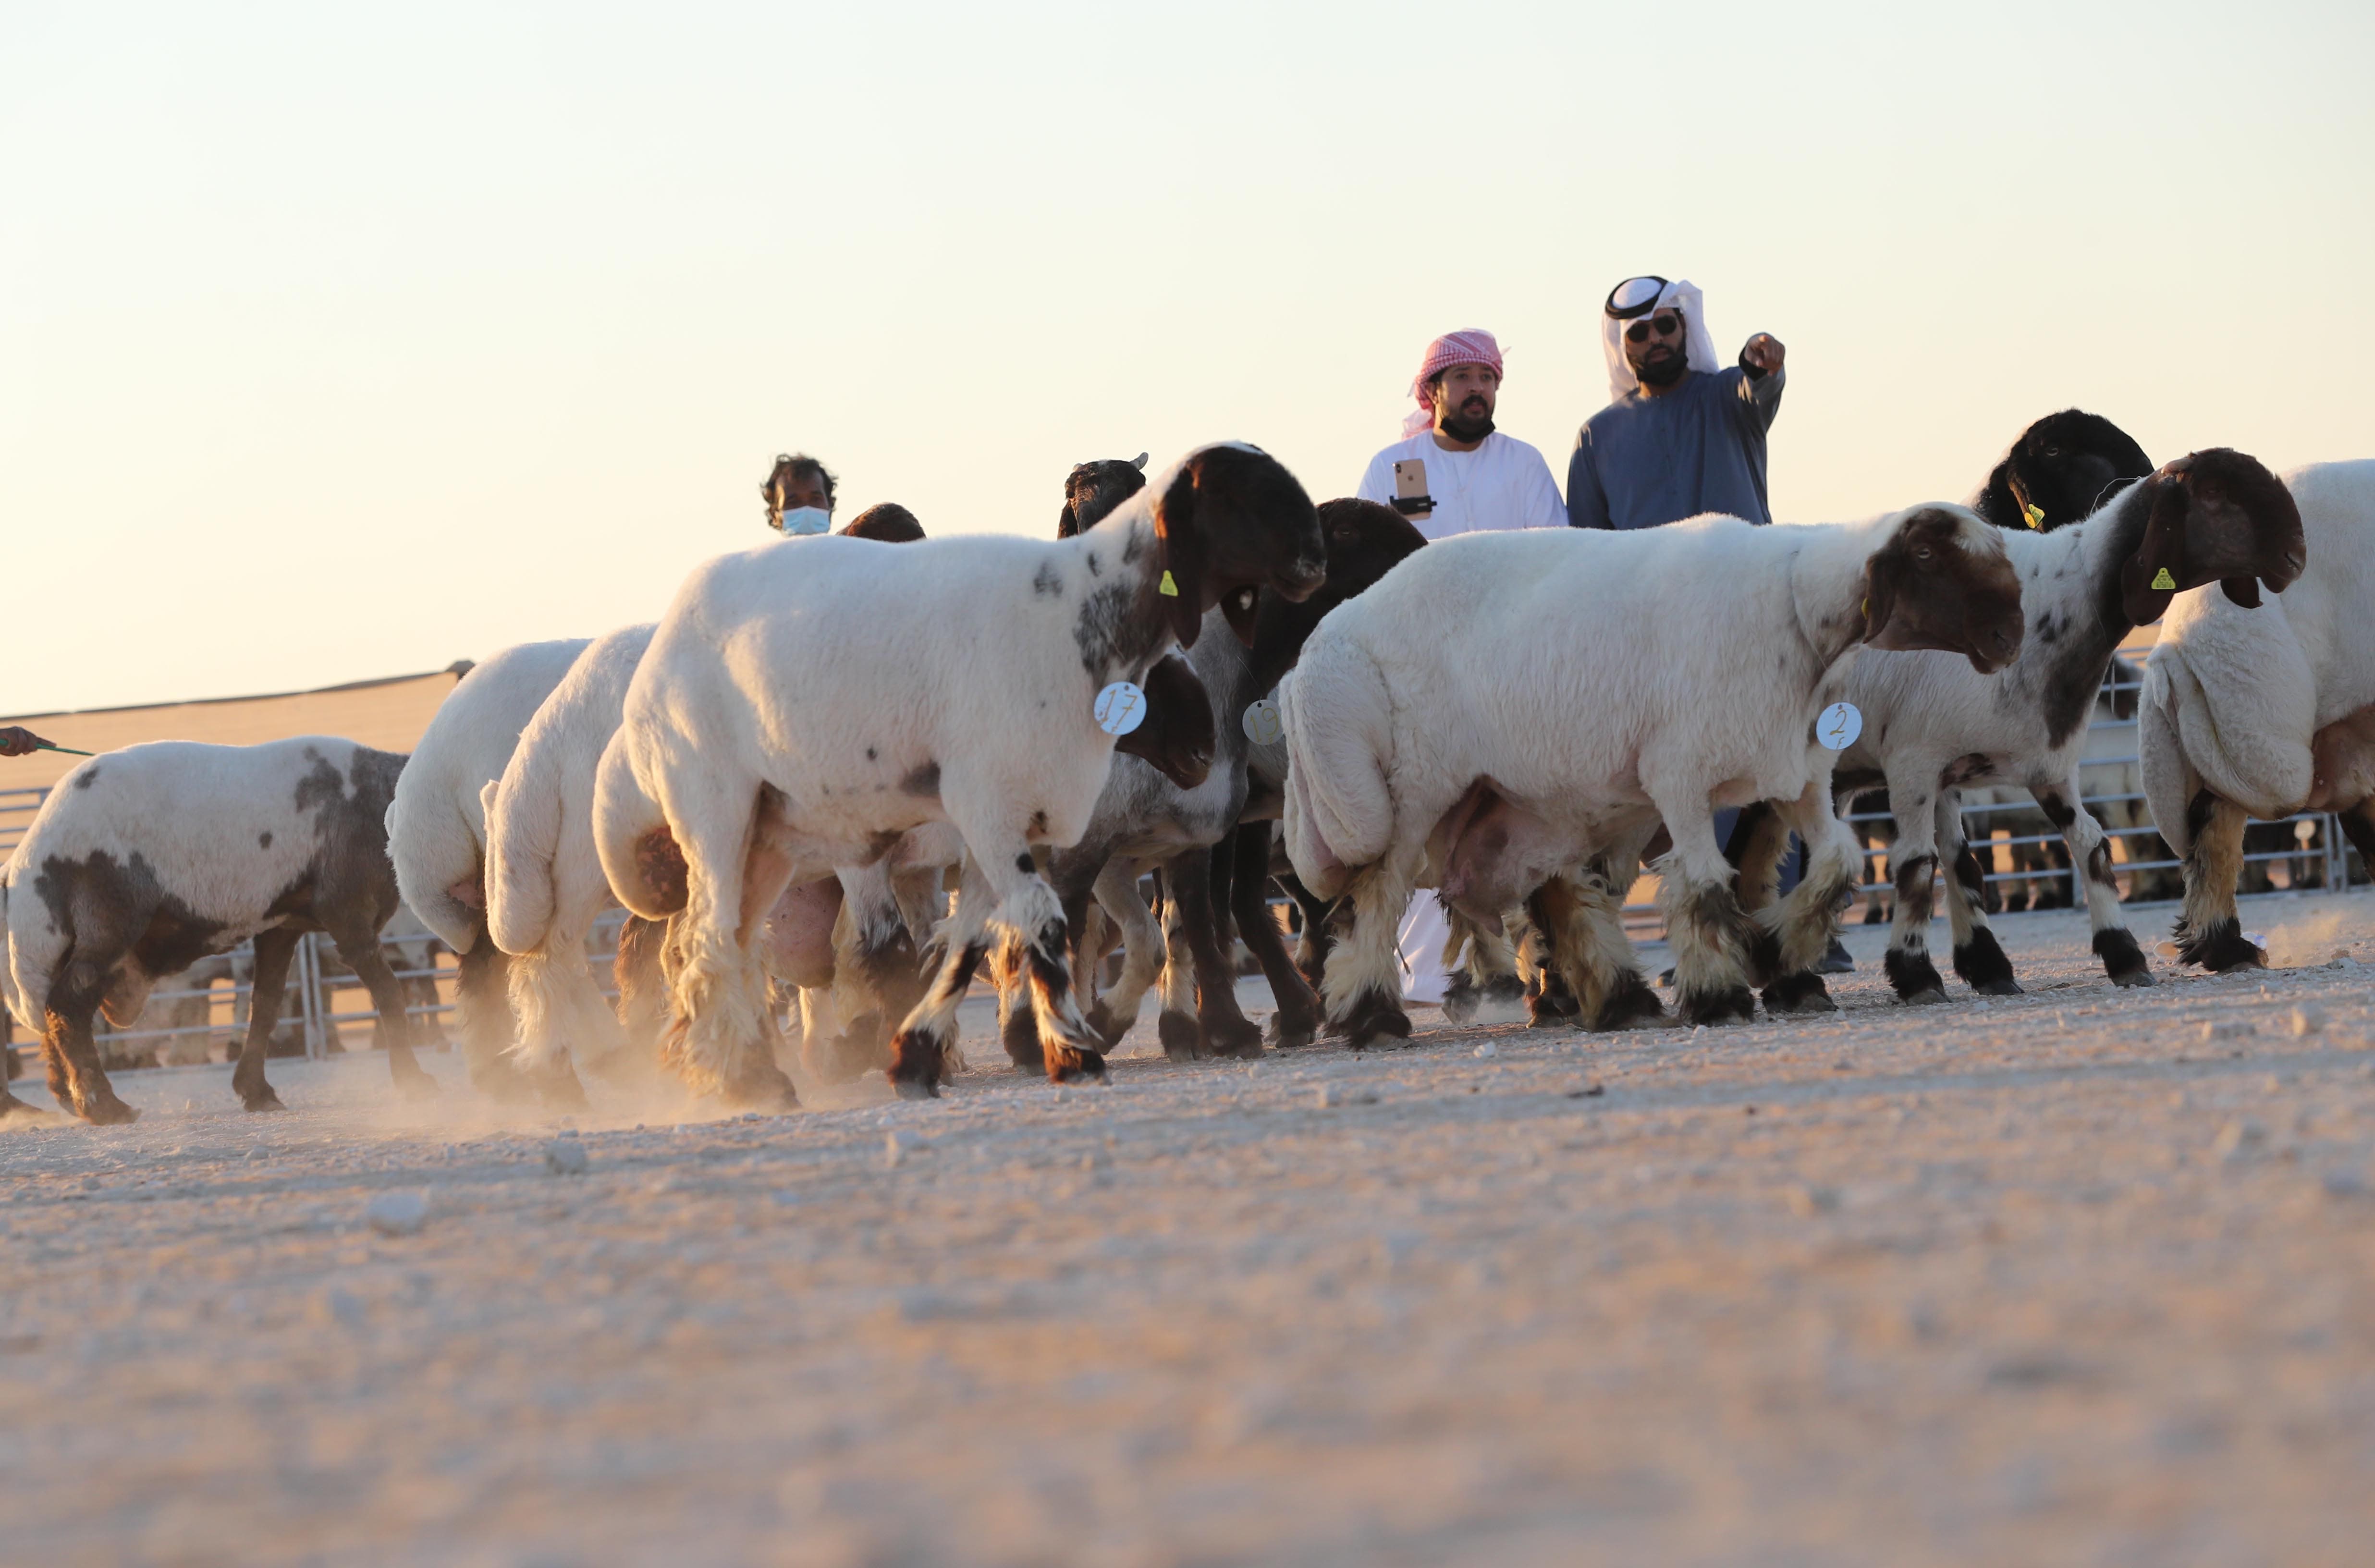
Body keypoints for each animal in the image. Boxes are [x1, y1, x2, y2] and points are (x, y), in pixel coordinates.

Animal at [589, 441, 1339, 1102]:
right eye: (1233, 494)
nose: (1314, 559)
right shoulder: (996, 825)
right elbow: (1029, 928)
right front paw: (1065, 1048)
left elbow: (987, 936)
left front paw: (934, 1053)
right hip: (720, 818)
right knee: (710, 942)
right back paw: (740, 1070)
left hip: (771, 839)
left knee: (722, 945)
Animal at [1282, 501, 2023, 1041]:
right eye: (1925, 554)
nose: (2009, 636)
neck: (1790, 611)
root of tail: (1333, 630)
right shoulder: (1680, 777)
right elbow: (1703, 886)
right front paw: (1721, 994)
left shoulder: (1799, 772)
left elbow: (1837, 864)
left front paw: (1781, 950)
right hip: (1415, 789)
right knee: (1378, 897)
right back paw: (1371, 1016)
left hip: (1531, 800)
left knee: (1565, 896)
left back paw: (1620, 999)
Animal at [1824, 446, 2308, 998]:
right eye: (2212, 493)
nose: (2296, 555)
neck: (2052, 607)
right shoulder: (1915, 764)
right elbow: (1918, 863)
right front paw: (1918, 974)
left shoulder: (2027, 766)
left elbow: (2076, 847)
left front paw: (2116, 956)